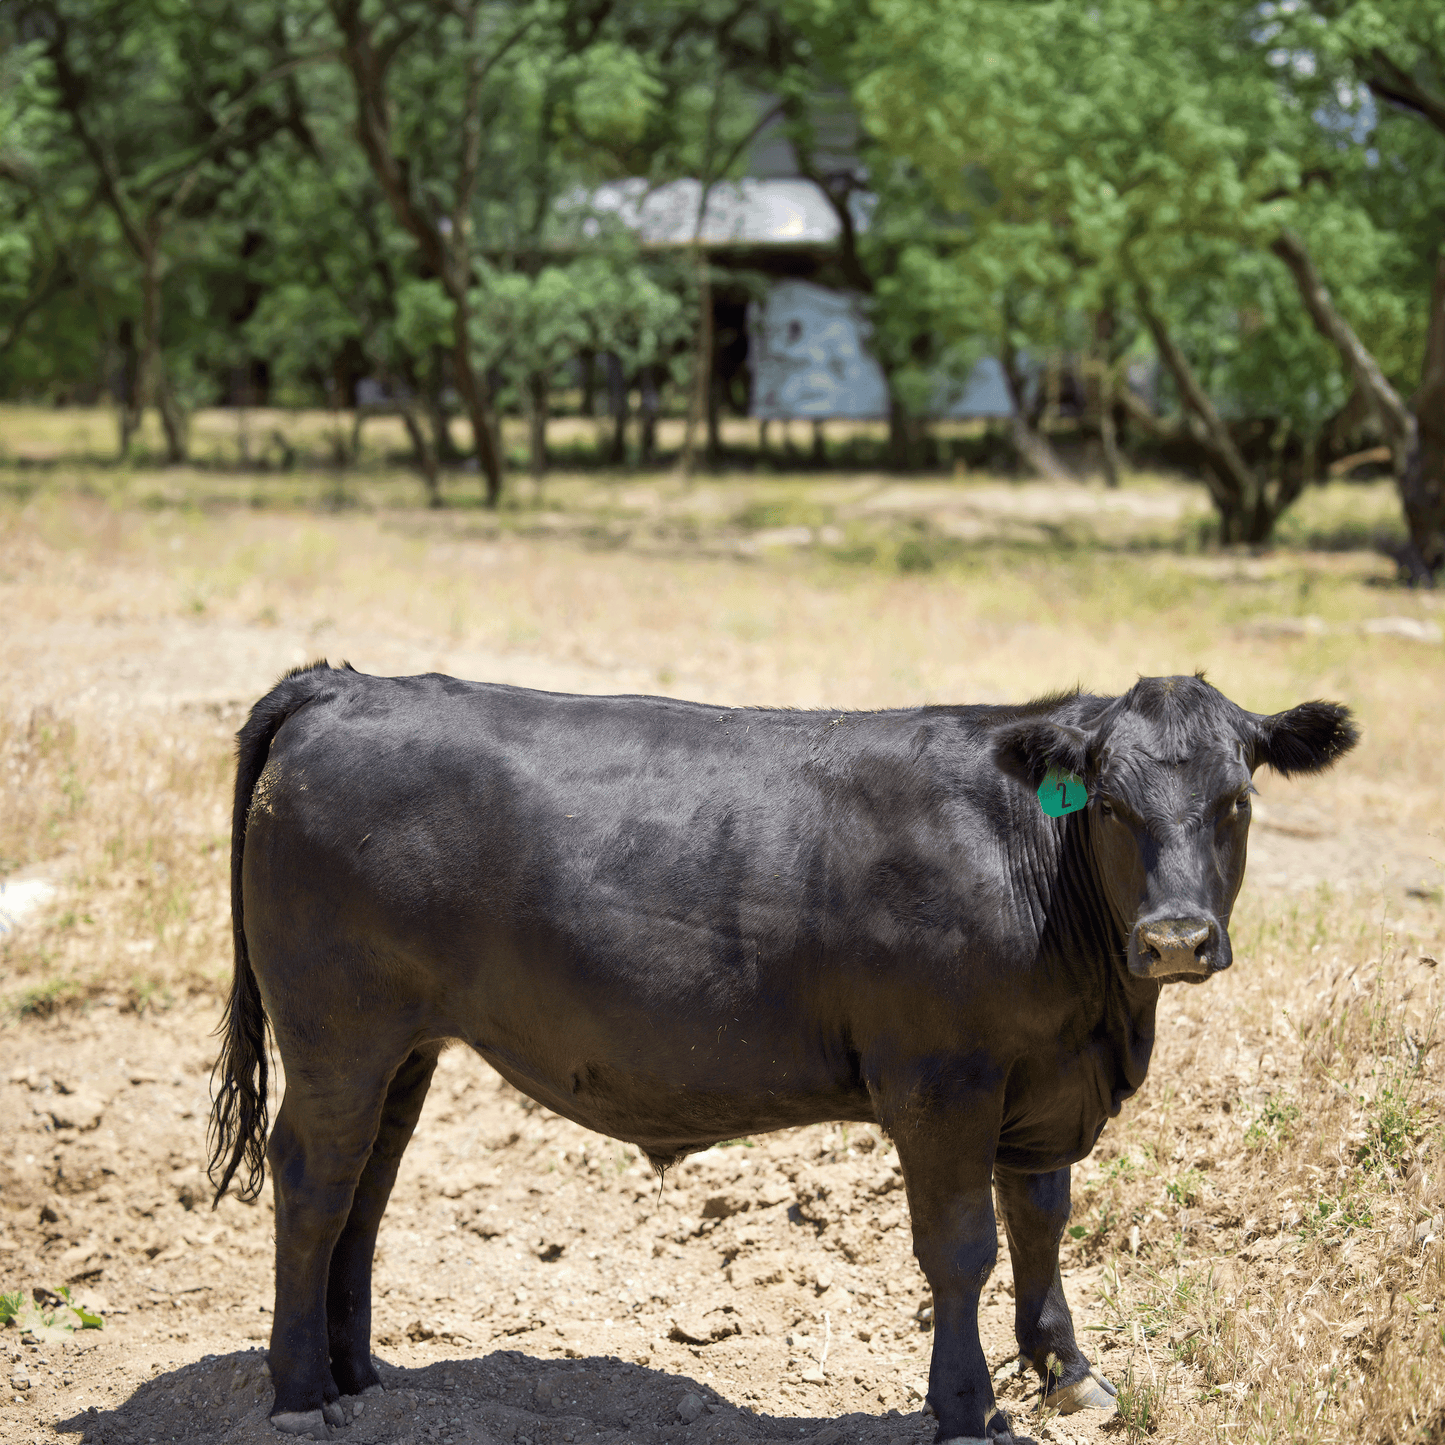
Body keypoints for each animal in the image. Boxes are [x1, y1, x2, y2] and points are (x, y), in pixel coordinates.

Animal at [209, 661, 1358, 1439]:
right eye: (1112, 805)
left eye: (1235, 800)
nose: (1173, 938)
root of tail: (343, 684)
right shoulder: (941, 1079)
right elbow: (961, 1248)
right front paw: (965, 1406)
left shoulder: (1040, 1082)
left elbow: (1039, 1220)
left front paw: (1069, 1370)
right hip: (338, 1032)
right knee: (312, 1180)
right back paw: (301, 1390)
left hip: (403, 1045)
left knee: (367, 1187)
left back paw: (360, 1371)